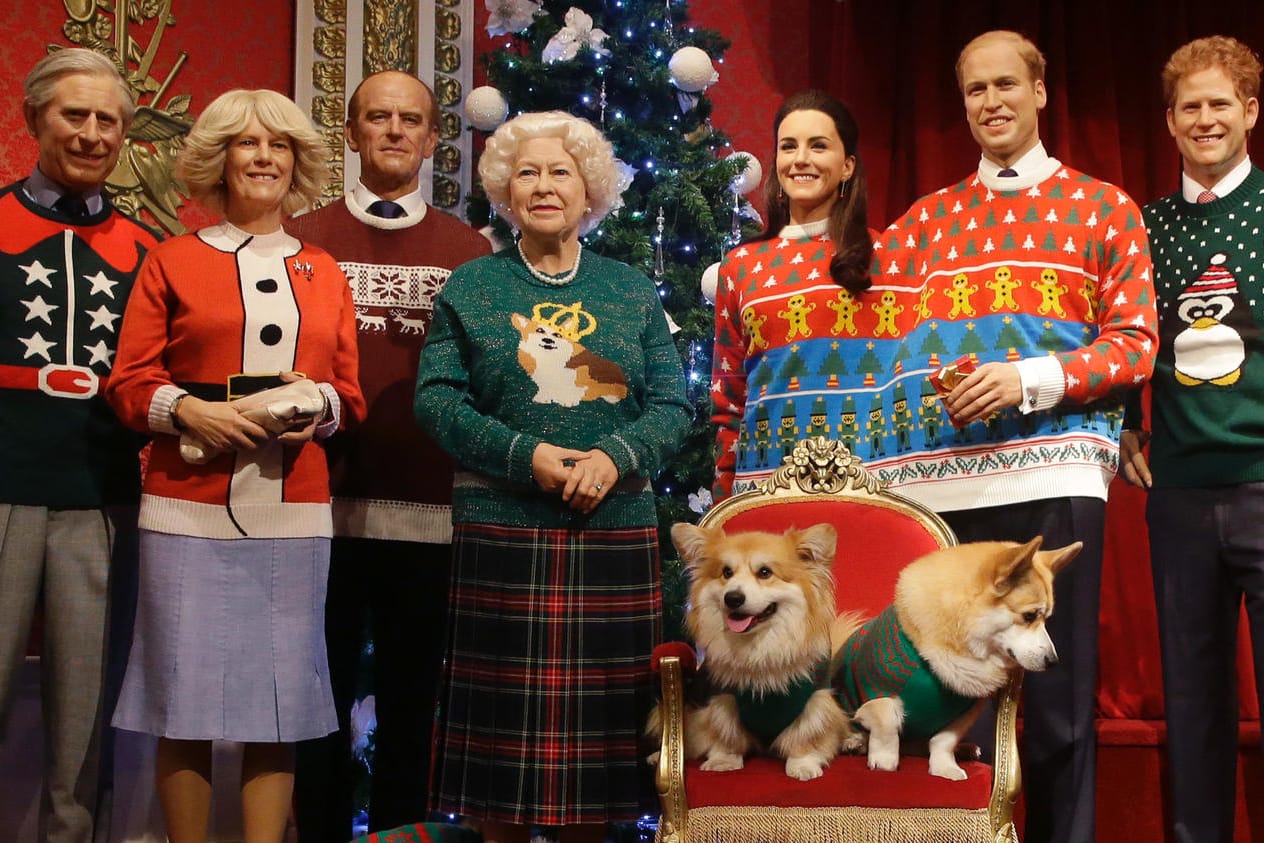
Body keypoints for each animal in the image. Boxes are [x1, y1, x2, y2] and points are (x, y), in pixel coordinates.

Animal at [642, 523, 859, 783]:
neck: (759, 650)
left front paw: (803, 764)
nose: (733, 598)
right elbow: (725, 734)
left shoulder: (814, 704)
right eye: (726, 572)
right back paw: (656, 756)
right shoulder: (722, 700)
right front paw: (723, 761)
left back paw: (851, 741)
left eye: (765, 572)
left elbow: (805, 736)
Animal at [829, 538, 1087, 783]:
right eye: (1030, 616)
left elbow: (944, 742)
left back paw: (964, 750)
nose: (1053, 661)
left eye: (1046, 618)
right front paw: (884, 761)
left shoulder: (965, 712)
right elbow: (888, 725)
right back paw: (855, 742)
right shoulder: (878, 694)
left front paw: (945, 768)